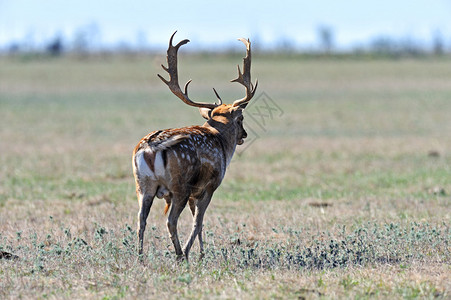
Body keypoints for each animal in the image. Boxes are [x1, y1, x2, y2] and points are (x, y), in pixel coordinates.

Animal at [132, 32, 258, 260]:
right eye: (241, 118)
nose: (244, 135)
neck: (221, 141)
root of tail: (150, 146)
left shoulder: (194, 194)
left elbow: (197, 222)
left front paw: (201, 253)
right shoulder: (209, 186)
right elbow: (198, 222)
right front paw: (195, 253)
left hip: (143, 185)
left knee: (140, 220)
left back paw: (140, 257)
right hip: (180, 185)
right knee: (170, 221)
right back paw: (180, 255)